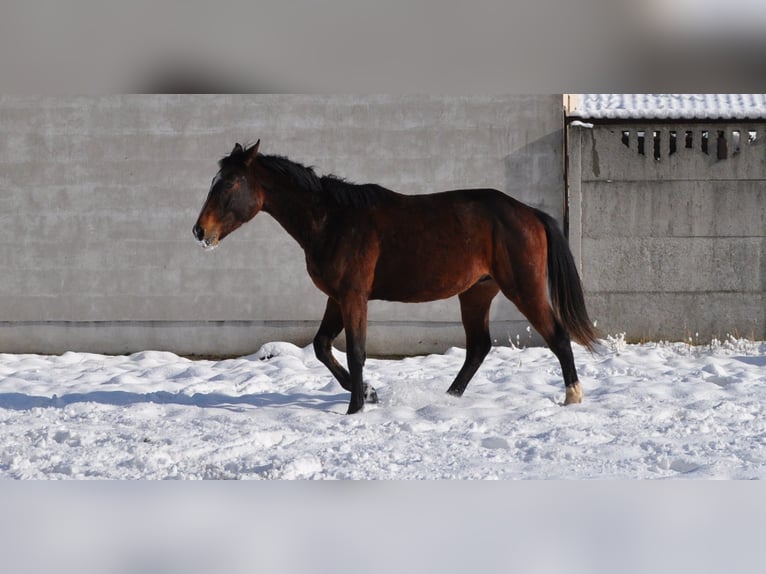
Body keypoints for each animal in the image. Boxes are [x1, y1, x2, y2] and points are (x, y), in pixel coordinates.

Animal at [194, 142, 600, 416]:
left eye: (229, 184)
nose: (200, 231)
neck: (332, 220)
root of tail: (530, 214)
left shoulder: (354, 296)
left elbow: (356, 351)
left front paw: (356, 408)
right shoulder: (336, 298)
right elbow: (323, 346)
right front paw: (370, 393)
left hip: (523, 288)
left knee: (557, 336)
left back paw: (573, 397)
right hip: (476, 293)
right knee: (478, 347)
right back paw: (447, 398)